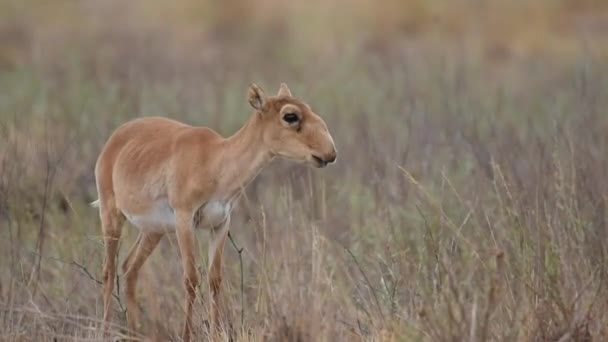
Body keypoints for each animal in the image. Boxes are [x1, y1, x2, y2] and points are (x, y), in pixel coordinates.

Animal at [92, 82, 338, 340]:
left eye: (307, 107)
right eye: (290, 115)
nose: (330, 153)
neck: (214, 161)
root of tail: (115, 139)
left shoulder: (220, 224)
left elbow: (215, 279)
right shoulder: (185, 220)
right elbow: (191, 279)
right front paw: (187, 335)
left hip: (153, 231)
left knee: (129, 268)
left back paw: (132, 332)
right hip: (111, 216)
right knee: (108, 271)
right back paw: (105, 330)